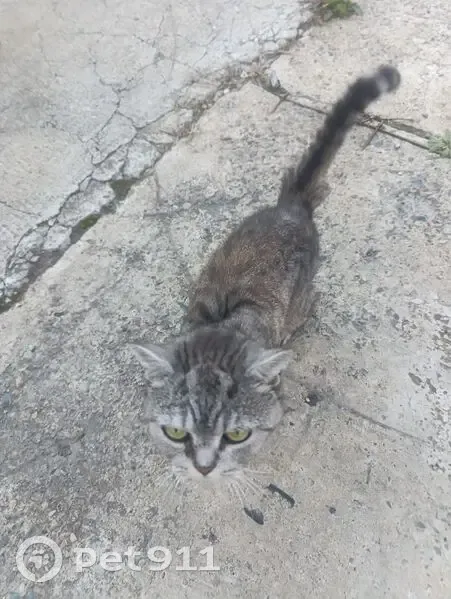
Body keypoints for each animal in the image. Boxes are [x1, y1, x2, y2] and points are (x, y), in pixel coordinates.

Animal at [130, 65, 401, 488]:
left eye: (236, 434)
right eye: (176, 433)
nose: (203, 469)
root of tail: (291, 206)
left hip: (303, 293)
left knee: (310, 302)